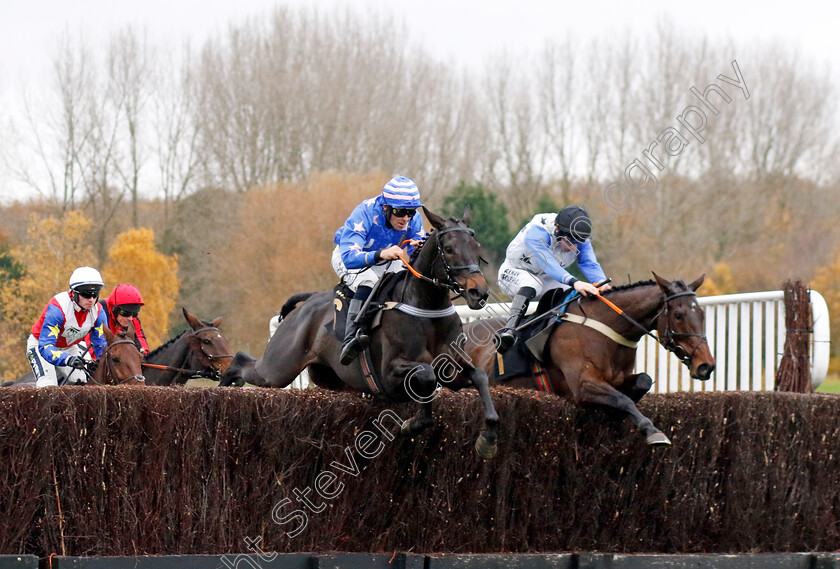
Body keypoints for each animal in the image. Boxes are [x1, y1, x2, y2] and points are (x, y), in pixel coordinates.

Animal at [220, 207, 502, 458]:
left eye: (476, 248)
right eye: (449, 249)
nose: (479, 291)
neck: (425, 308)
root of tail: (309, 301)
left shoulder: (453, 368)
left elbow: (479, 377)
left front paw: (488, 439)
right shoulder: (390, 374)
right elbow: (426, 374)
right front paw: (412, 423)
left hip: (330, 378)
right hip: (280, 366)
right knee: (244, 361)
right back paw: (224, 384)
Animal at [462, 272, 712, 446]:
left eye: (701, 314)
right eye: (678, 315)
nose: (706, 365)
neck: (605, 328)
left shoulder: (618, 379)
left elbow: (642, 382)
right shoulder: (582, 384)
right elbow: (623, 400)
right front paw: (652, 431)